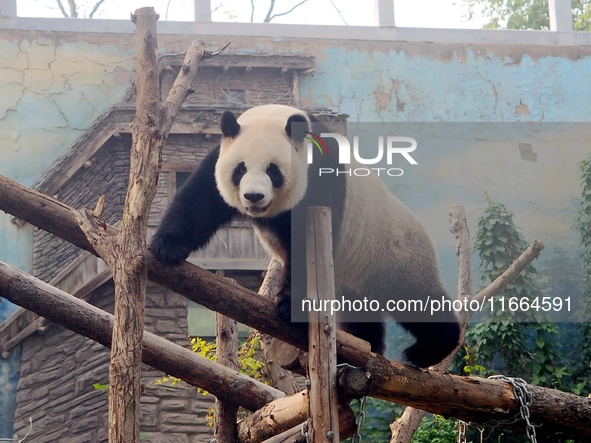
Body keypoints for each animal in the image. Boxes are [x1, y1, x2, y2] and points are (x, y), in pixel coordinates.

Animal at [150, 103, 460, 368]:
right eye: (241, 168)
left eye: (273, 170)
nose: (253, 196)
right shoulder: (218, 158)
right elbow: (199, 202)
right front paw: (166, 247)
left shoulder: (321, 179)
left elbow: (305, 249)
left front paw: (290, 305)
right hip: (353, 277)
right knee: (360, 314)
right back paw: (365, 348)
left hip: (395, 255)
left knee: (417, 300)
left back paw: (427, 350)